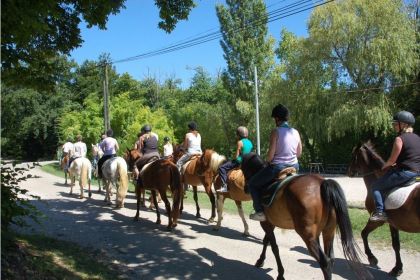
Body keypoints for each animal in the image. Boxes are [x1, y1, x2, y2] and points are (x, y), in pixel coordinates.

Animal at [241, 153, 370, 280]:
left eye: (243, 169)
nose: (245, 188)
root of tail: (322, 183)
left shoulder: (265, 223)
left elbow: (274, 247)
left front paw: (280, 274)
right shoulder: (270, 223)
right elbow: (266, 241)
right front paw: (260, 261)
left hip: (307, 235)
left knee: (325, 262)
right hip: (328, 231)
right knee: (331, 258)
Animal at [346, 141, 418, 276]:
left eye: (353, 156)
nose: (348, 172)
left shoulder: (378, 220)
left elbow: (363, 233)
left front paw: (372, 258)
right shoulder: (393, 223)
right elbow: (396, 245)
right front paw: (398, 268)